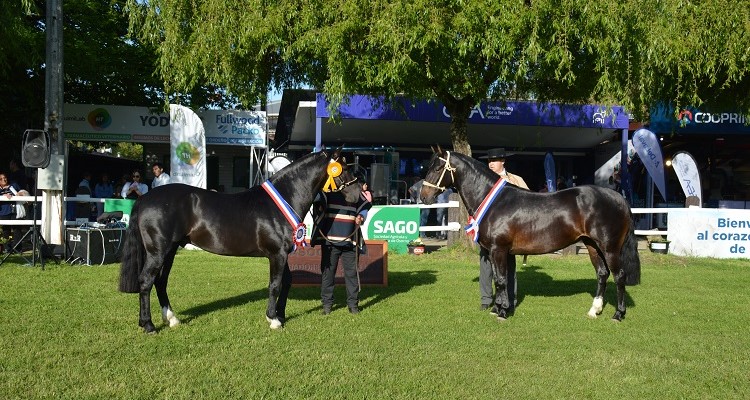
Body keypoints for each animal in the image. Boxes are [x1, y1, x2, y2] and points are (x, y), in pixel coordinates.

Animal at [120, 147, 362, 332]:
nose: (359, 194)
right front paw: (273, 320)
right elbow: (275, 285)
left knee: (160, 282)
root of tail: (144, 199)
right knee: (146, 281)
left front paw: (281, 315)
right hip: (158, 252)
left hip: (169, 251)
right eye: (343, 168)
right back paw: (148, 325)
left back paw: (171, 319)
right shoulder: (277, 254)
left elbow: (286, 282)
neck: (283, 199)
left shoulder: (282, 254)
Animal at [420, 148, 644, 322]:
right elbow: (499, 279)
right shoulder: (497, 252)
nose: (423, 196)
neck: (494, 201)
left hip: (610, 248)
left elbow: (501, 280)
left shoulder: (498, 250)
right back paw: (594, 310)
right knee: (602, 274)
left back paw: (618, 314)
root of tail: (618, 197)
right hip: (592, 245)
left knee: (619, 276)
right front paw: (499, 308)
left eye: (438, 168)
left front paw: (502, 312)